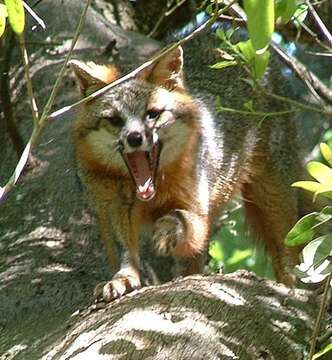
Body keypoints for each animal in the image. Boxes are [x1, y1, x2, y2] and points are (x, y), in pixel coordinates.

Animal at [70, 35, 304, 302]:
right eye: (115, 120)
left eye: (152, 114)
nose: (134, 138)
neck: (153, 194)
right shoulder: (111, 209)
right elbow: (125, 252)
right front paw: (122, 279)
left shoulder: (196, 210)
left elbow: (179, 219)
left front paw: (166, 231)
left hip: (274, 200)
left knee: (289, 255)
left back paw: (290, 288)